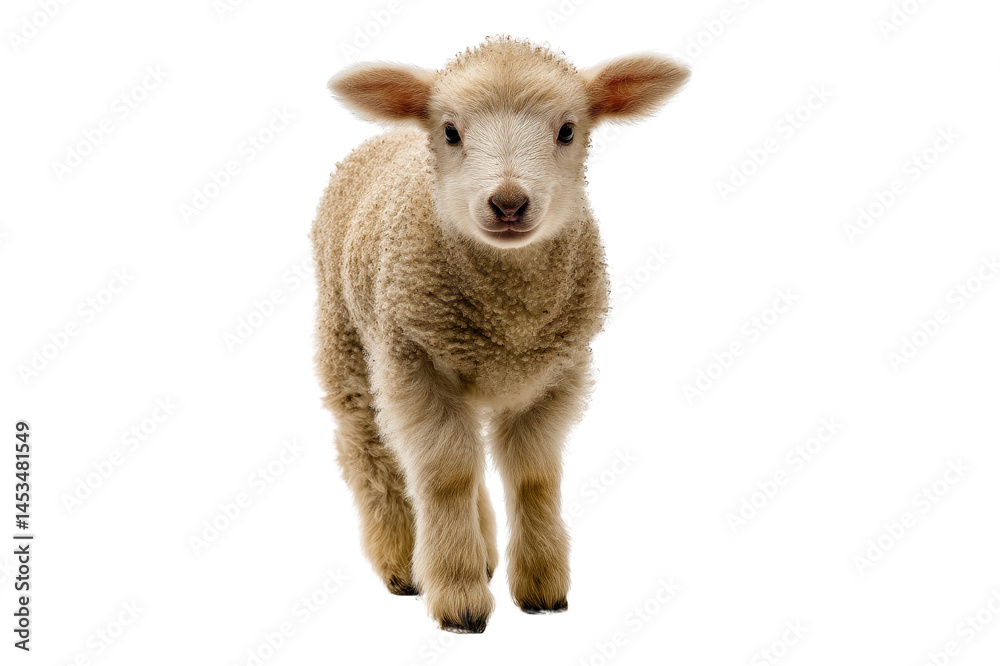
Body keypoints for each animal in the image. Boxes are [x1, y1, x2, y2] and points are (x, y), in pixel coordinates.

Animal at [312, 36, 689, 633]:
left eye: (567, 130)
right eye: (450, 132)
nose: (509, 203)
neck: (509, 316)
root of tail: (386, 136)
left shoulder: (554, 372)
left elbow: (532, 477)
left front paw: (541, 588)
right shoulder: (415, 361)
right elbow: (446, 476)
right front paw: (459, 597)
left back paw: (482, 553)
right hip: (348, 341)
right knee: (371, 450)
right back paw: (402, 562)